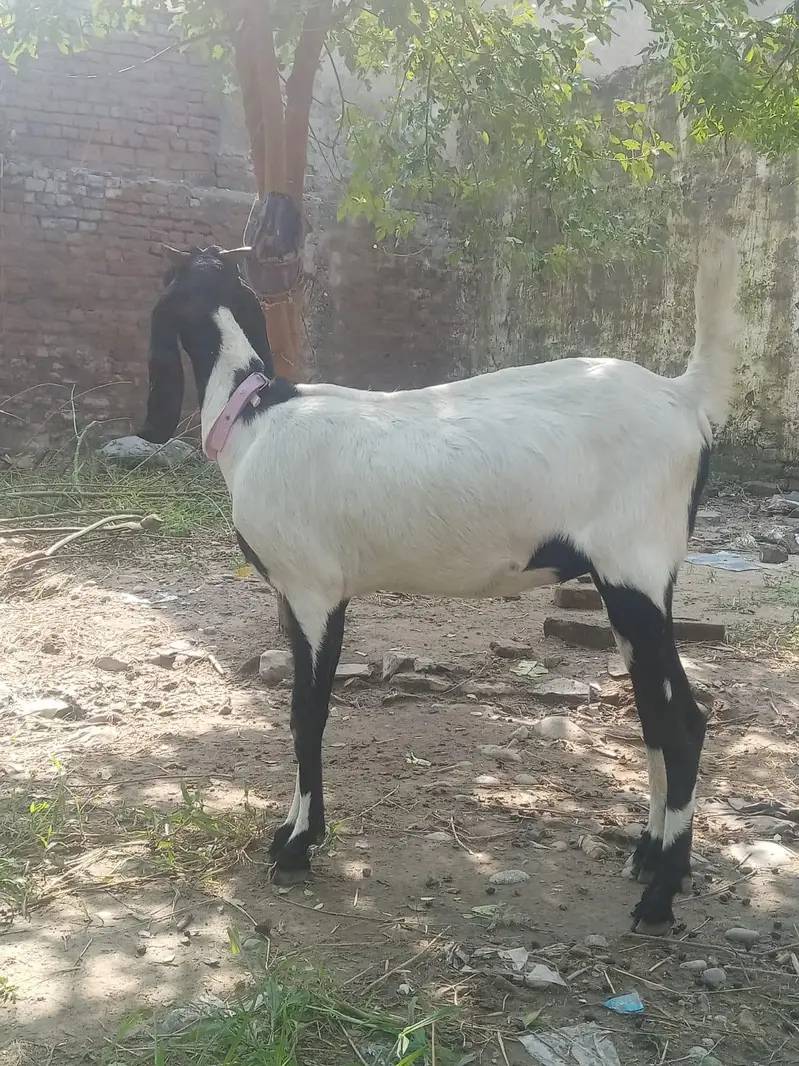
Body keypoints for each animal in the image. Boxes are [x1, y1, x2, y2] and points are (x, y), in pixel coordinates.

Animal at [139, 207, 739, 936]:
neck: (256, 415)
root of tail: (683, 398)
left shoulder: (312, 590)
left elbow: (306, 713)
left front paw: (295, 846)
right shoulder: (307, 594)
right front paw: (297, 834)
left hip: (634, 569)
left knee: (683, 723)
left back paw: (658, 899)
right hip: (632, 580)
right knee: (655, 714)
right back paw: (647, 858)